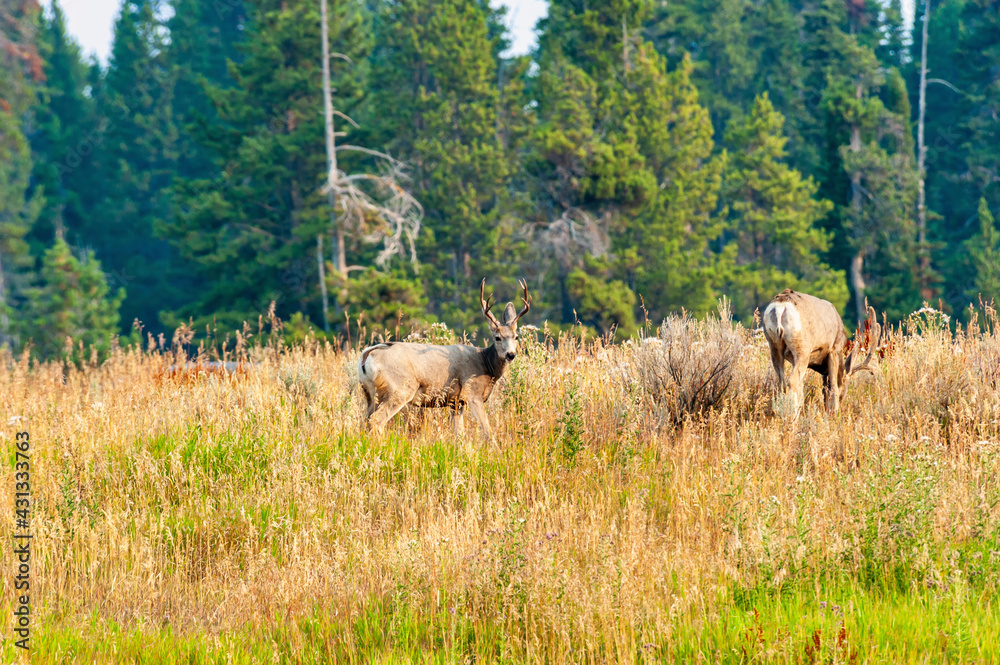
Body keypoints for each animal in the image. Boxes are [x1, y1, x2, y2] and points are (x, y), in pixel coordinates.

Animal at [357, 278, 530, 442]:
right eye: (497, 337)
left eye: (516, 337)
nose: (510, 354)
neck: (486, 365)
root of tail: (367, 355)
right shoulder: (472, 392)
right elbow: (488, 432)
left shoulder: (456, 402)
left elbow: (459, 435)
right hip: (400, 388)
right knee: (376, 420)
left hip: (370, 392)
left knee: (365, 420)